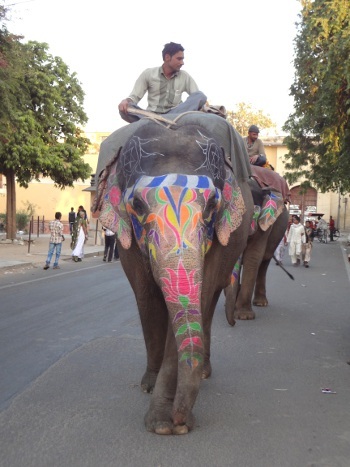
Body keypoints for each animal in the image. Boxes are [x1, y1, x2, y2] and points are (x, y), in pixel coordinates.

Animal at [91, 113, 253, 436]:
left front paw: (167, 424)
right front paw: (161, 415)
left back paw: (203, 373)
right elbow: (147, 295)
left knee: (209, 300)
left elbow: (196, 296)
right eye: (137, 205)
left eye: (213, 205)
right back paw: (149, 382)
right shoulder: (127, 239)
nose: (179, 419)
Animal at [224, 165, 290, 326]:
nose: (232, 323)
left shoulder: (265, 224)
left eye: (251, 216)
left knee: (264, 260)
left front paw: (244, 316)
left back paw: (260, 303)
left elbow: (253, 256)